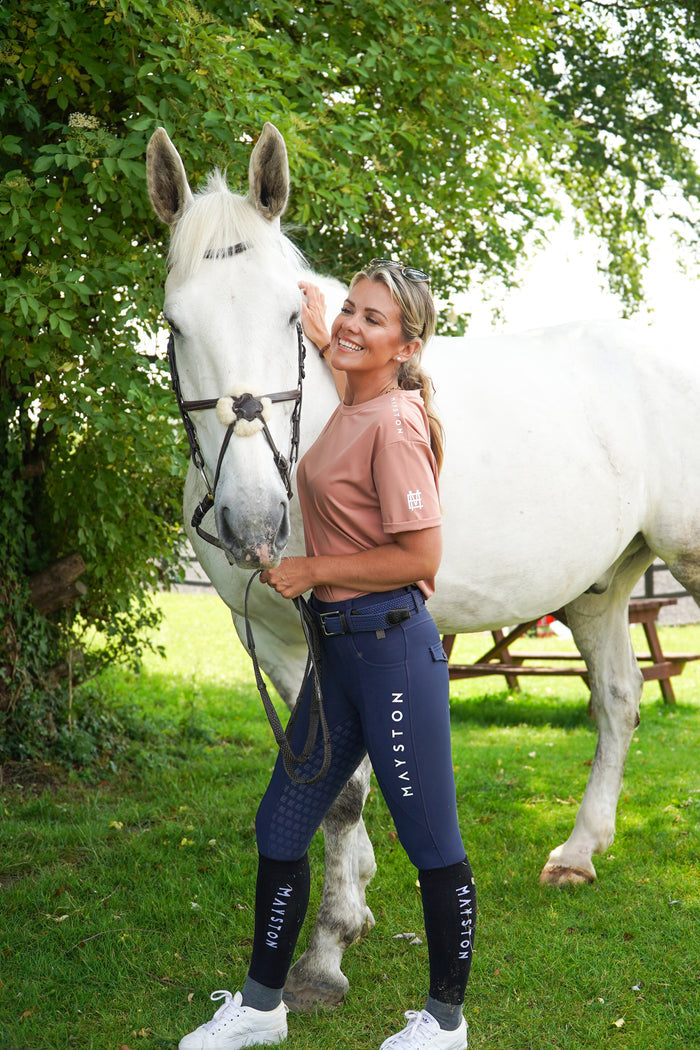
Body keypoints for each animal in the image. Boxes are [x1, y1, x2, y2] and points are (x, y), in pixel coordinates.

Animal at [147, 122, 700, 1011]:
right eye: (174, 323)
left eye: (288, 312)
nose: (255, 523)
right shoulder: (281, 643)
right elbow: (336, 782)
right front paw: (358, 905)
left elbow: (344, 790)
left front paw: (326, 951)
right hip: (601, 587)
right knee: (619, 701)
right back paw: (579, 852)